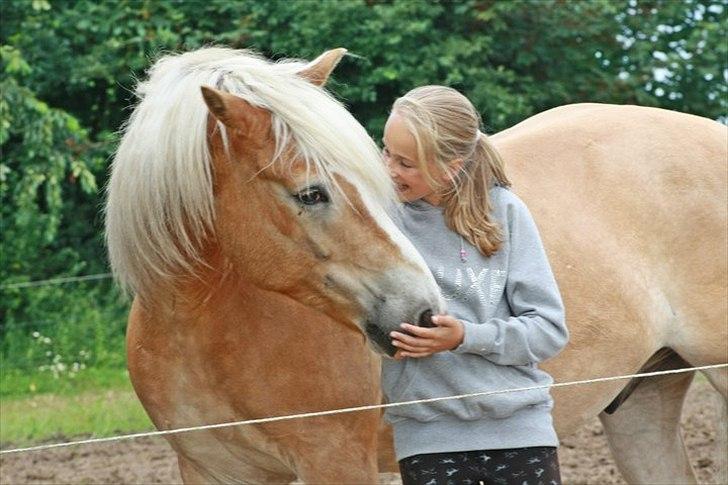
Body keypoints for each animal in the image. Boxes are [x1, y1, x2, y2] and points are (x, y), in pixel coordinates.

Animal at [104, 46, 728, 484]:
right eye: (311, 193)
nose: (425, 309)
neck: (206, 329)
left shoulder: (336, 460)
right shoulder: (214, 469)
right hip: (641, 402)